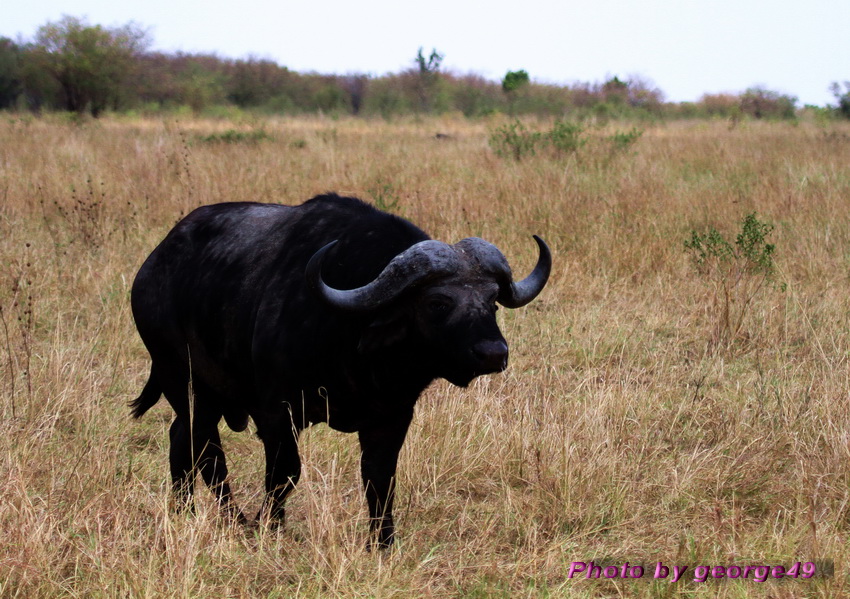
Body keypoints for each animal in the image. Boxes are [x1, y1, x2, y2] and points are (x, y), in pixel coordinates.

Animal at [128, 193, 548, 548]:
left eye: (492, 301)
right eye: (438, 302)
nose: (493, 353)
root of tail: (152, 267)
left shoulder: (392, 416)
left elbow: (380, 478)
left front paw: (383, 543)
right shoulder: (277, 412)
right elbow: (286, 471)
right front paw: (270, 526)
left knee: (181, 439)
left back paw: (185, 510)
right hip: (184, 381)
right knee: (206, 450)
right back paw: (230, 518)